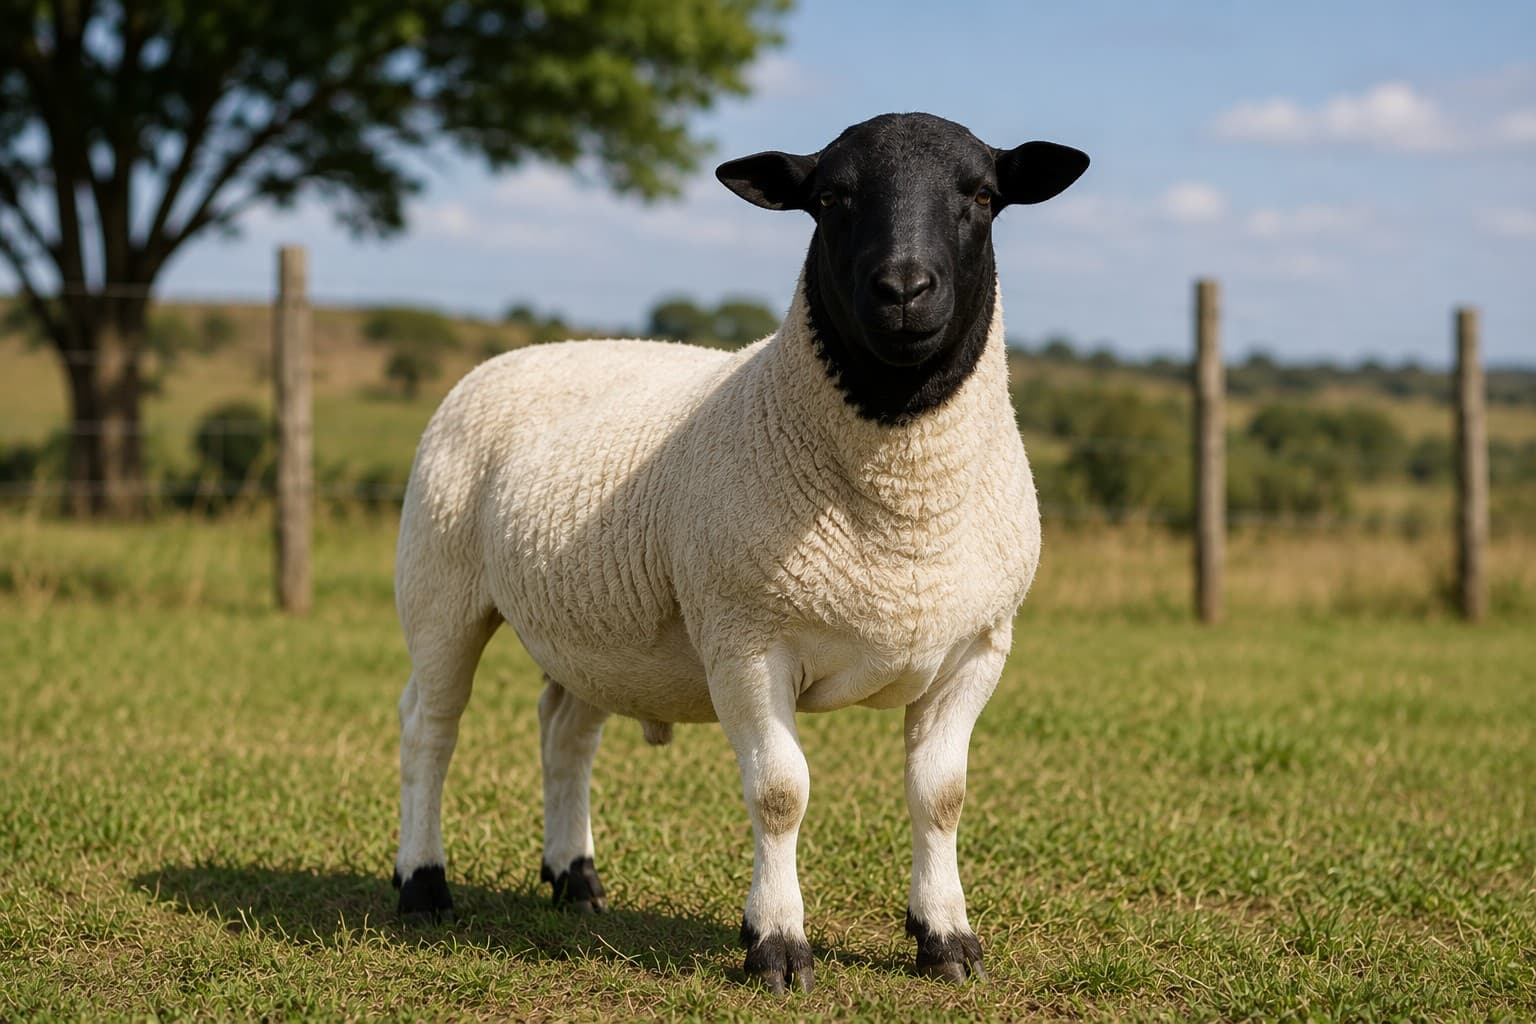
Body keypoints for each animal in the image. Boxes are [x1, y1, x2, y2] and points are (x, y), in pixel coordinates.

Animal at [390, 112, 1089, 993]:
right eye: (830, 199)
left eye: (984, 197)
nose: (903, 290)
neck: (901, 511)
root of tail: (524, 353)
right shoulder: (747, 642)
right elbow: (781, 793)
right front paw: (778, 944)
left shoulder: (976, 647)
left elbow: (942, 795)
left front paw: (947, 939)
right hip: (440, 585)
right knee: (430, 728)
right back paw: (422, 886)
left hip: (596, 628)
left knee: (565, 732)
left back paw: (574, 880)